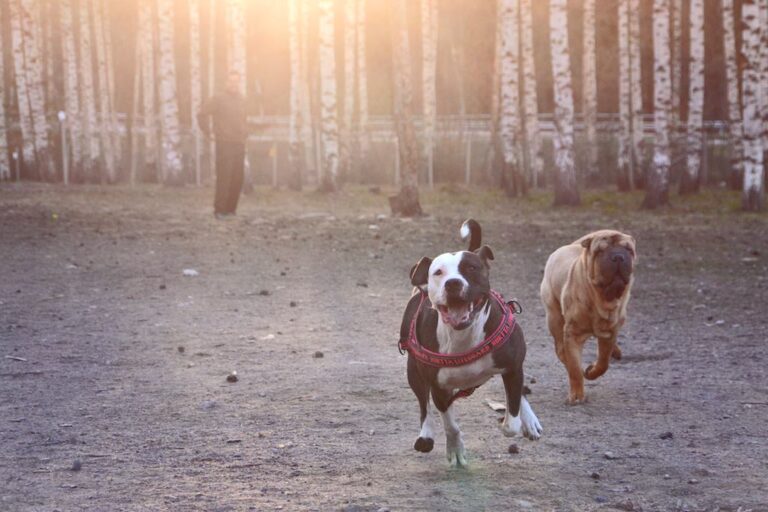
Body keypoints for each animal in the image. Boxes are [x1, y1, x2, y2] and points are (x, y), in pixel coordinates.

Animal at [400, 218, 544, 466]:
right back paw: (425, 435)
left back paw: (530, 420)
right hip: (413, 369)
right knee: (423, 403)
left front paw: (516, 420)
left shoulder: (512, 367)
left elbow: (511, 421)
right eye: (438, 272)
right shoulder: (439, 387)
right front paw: (455, 449)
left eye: (471, 268)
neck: (463, 336)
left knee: (517, 392)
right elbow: (451, 425)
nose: (453, 283)